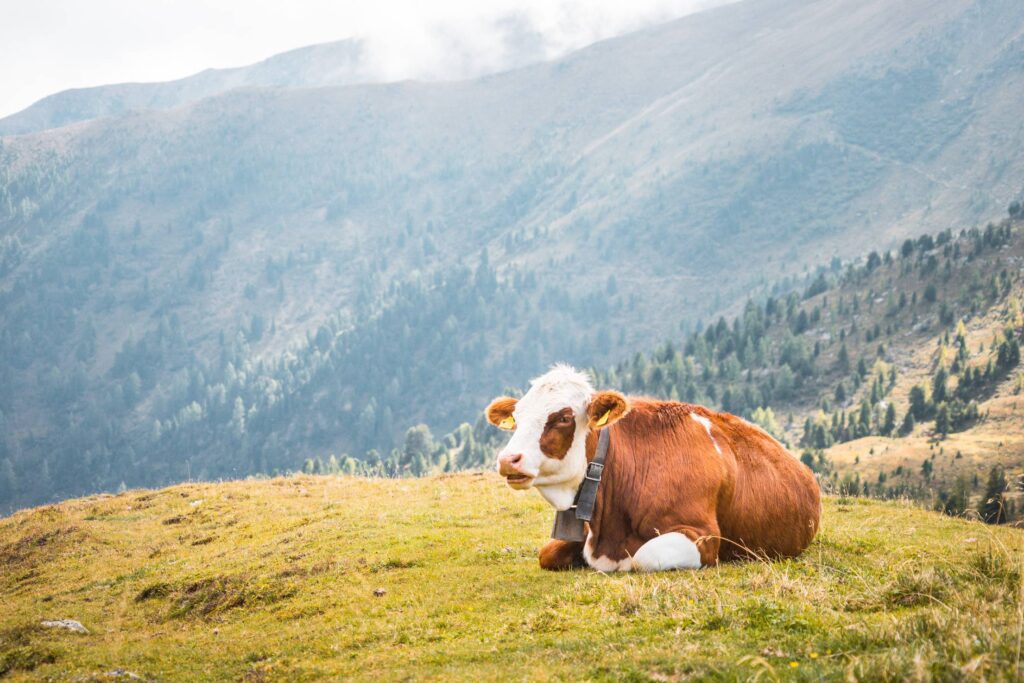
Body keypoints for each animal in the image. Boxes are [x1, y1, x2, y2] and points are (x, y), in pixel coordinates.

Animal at [483, 362, 819, 573]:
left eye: (564, 418)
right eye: (518, 416)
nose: (508, 459)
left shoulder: (705, 536)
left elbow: (643, 557)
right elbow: (547, 553)